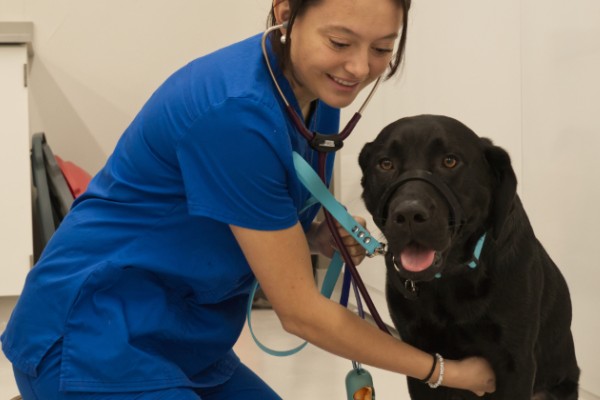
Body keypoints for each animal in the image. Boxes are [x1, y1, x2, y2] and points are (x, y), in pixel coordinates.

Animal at [358, 114, 580, 398]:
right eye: (385, 163)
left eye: (450, 161)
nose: (408, 214)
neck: (449, 280)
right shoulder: (419, 357)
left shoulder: (516, 364)